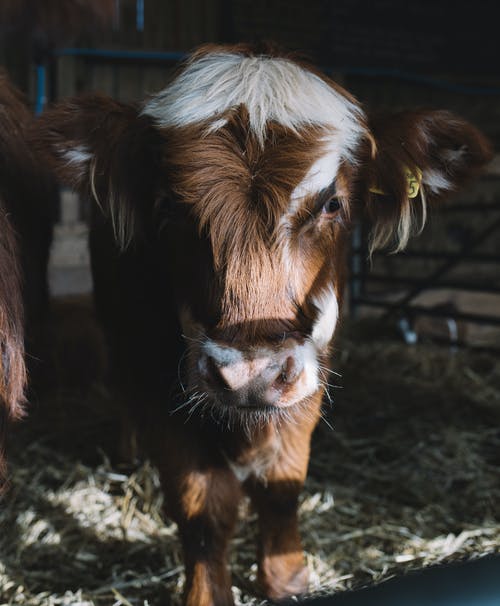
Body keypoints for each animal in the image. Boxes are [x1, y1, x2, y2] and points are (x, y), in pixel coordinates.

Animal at [35, 45, 492, 604]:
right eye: (167, 207)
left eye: (332, 204)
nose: (250, 373)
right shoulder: (161, 385)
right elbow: (201, 508)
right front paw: (207, 593)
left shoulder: (307, 371)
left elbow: (281, 485)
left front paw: (285, 578)